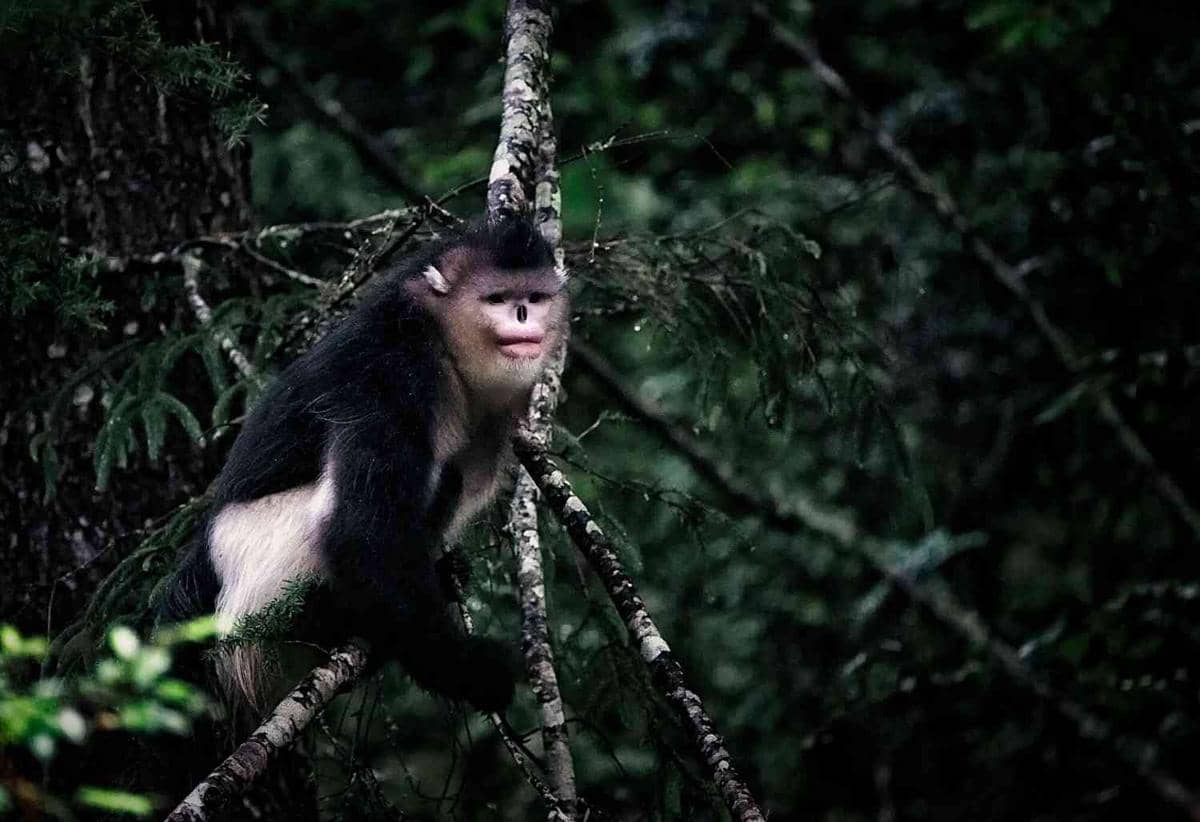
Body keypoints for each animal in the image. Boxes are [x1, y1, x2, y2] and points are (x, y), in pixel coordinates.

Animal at [159, 218, 567, 713]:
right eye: (497, 299)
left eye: (535, 297)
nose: (524, 314)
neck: (440, 340)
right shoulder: (394, 377)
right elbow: (359, 534)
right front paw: (470, 672)